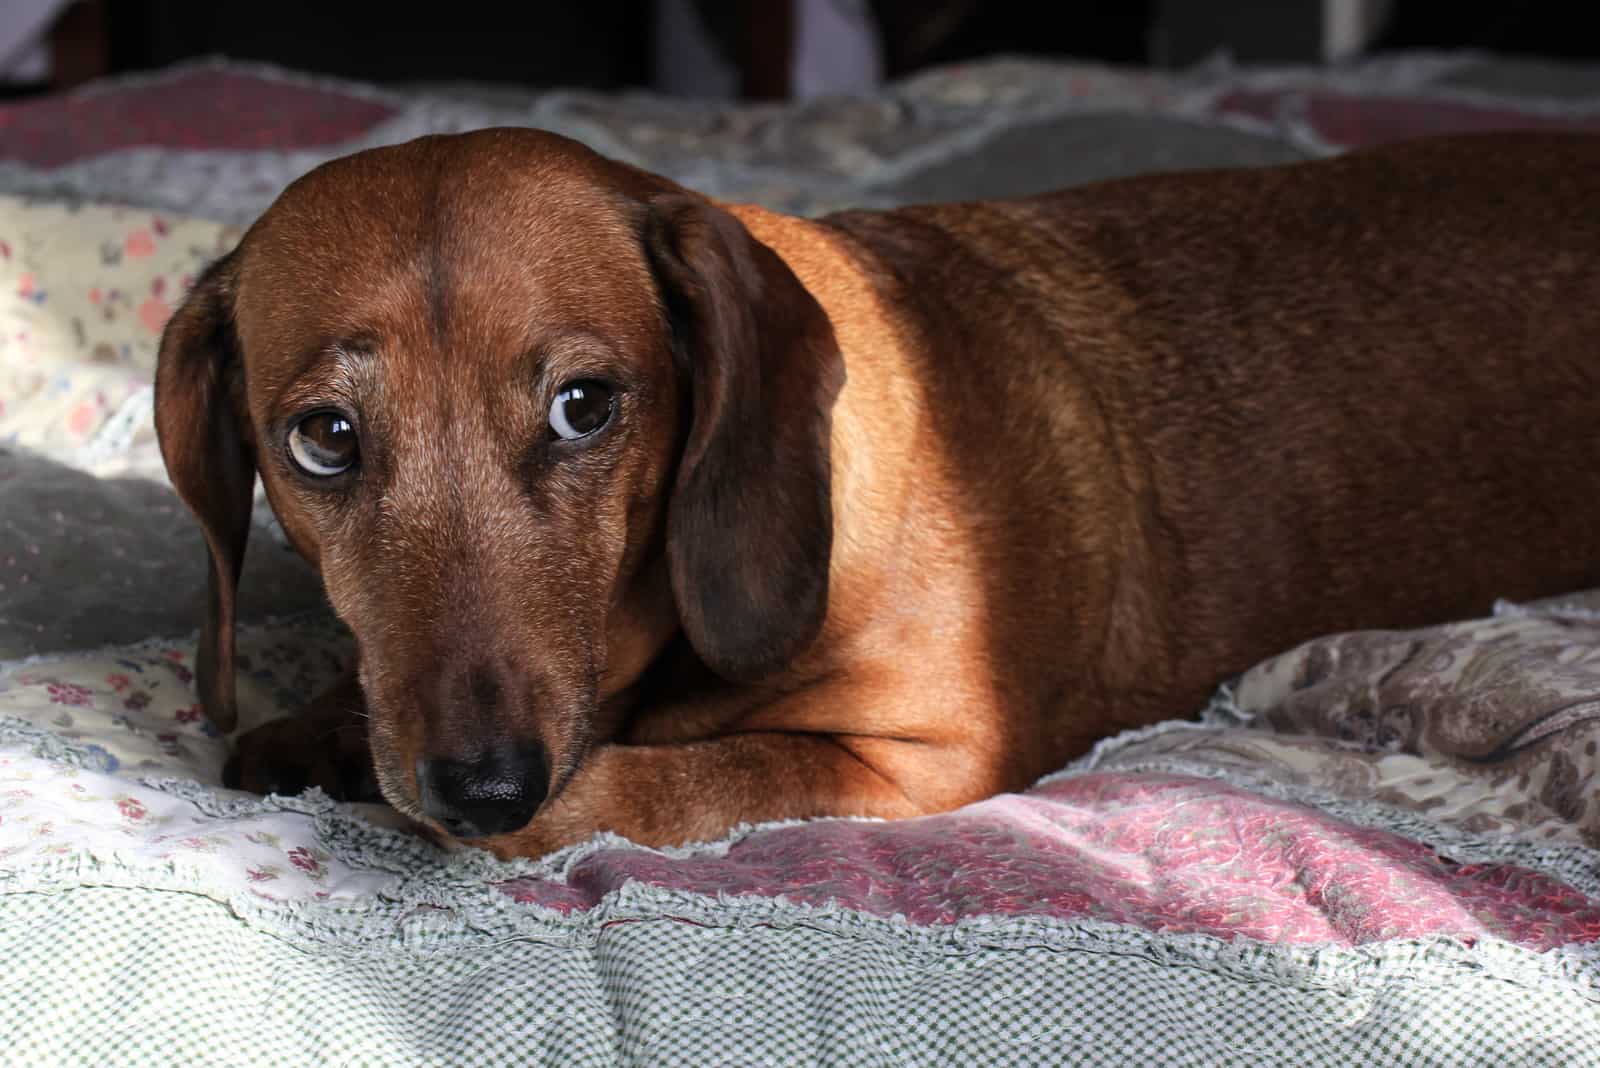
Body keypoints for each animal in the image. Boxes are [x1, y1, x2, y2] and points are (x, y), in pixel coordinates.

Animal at [152, 127, 1600, 856]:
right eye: (325, 438)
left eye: (585, 406)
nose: (484, 787)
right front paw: (316, 729)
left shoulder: (917, 759)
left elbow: (683, 781)